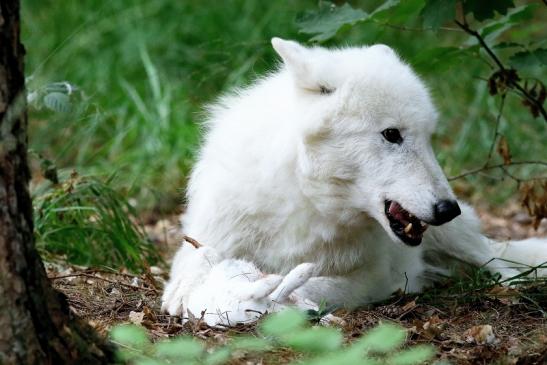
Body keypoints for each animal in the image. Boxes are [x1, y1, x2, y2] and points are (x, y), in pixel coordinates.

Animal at [162, 38, 547, 326]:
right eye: (392, 134)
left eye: (428, 138)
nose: (447, 209)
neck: (306, 199)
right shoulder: (208, 239)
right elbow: (189, 275)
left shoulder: (375, 277)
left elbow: (318, 286)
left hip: (462, 240)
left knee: (498, 264)